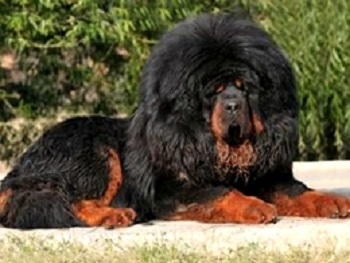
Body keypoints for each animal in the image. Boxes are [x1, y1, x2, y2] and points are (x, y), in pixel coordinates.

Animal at [0, 12, 350, 229]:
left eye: (244, 87)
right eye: (214, 92)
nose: (233, 105)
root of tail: (22, 165)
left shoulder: (269, 178)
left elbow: (300, 192)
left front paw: (333, 201)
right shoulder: (173, 190)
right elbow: (220, 192)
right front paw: (255, 207)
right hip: (95, 154)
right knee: (60, 200)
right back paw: (113, 215)